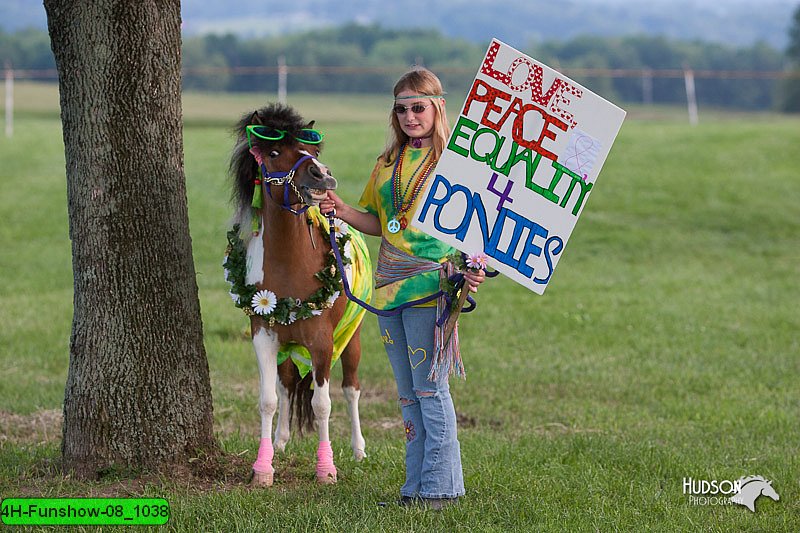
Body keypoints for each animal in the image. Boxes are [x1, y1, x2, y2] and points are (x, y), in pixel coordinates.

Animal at [227, 104, 370, 486]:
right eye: (275, 152)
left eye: (312, 150)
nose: (323, 175)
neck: (290, 266)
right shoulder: (264, 336)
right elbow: (268, 399)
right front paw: (263, 468)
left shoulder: (322, 342)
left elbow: (323, 404)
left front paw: (326, 469)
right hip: (289, 346)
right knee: (288, 386)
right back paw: (281, 440)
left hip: (351, 339)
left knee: (351, 388)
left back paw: (359, 449)